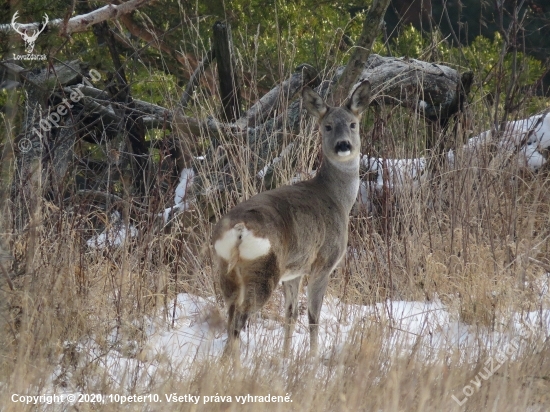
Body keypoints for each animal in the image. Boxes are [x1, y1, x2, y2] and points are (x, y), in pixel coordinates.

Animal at [213, 80, 374, 358]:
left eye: (353, 124)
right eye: (327, 125)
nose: (343, 145)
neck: (337, 199)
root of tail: (240, 230)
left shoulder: (293, 271)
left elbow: (290, 314)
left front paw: (286, 355)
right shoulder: (323, 262)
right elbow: (312, 316)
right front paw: (313, 356)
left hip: (227, 268)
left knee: (231, 314)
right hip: (263, 268)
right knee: (239, 318)